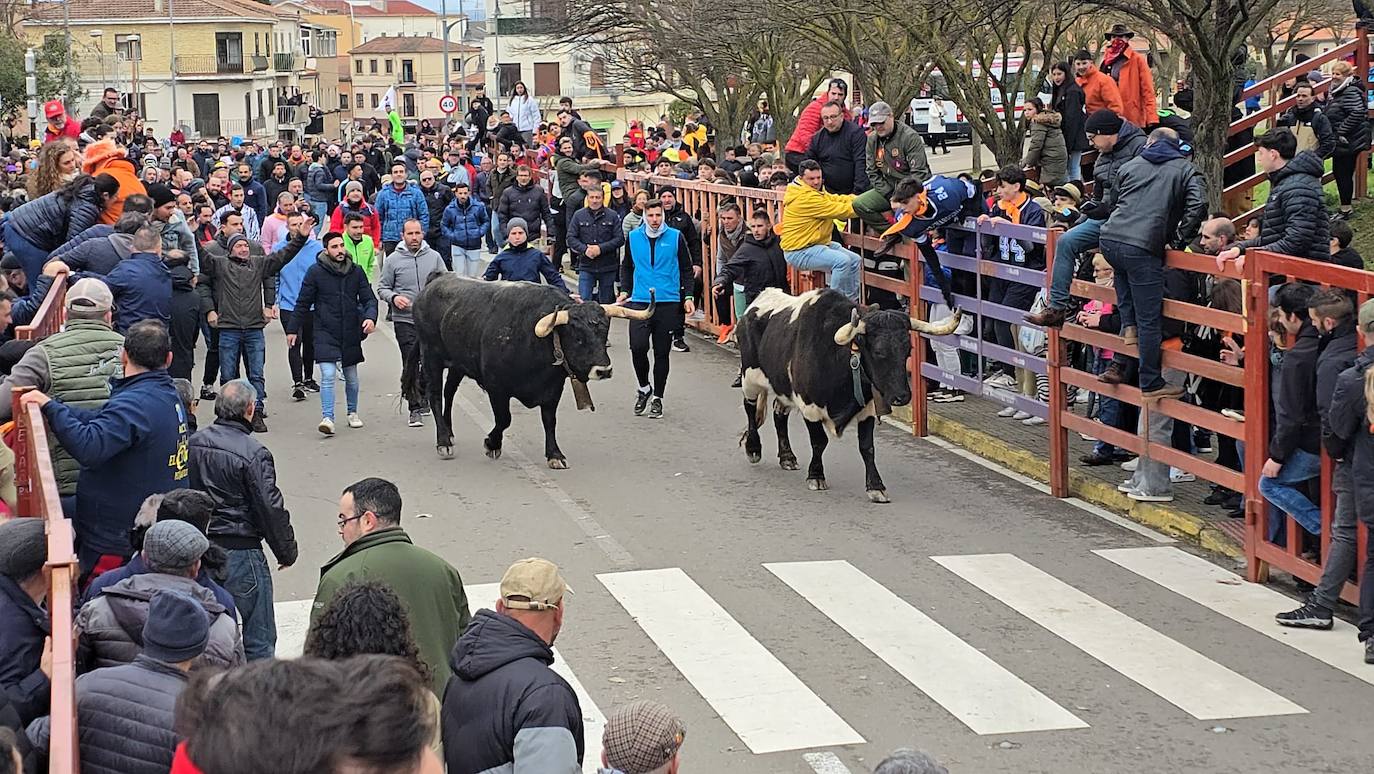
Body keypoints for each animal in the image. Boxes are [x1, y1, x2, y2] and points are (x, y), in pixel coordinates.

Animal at [398, 273, 654, 467]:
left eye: (604, 334)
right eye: (578, 337)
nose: (603, 370)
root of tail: (437, 279)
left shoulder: (553, 389)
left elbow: (549, 421)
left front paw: (555, 455)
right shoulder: (496, 388)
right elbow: (504, 419)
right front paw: (492, 444)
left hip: (458, 364)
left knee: (449, 392)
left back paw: (449, 433)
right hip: (431, 356)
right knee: (434, 394)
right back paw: (443, 441)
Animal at [736, 288, 961, 503]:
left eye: (908, 349)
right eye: (878, 351)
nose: (902, 397)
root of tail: (756, 303)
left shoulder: (867, 409)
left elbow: (867, 447)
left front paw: (876, 487)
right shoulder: (810, 407)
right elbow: (819, 441)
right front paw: (816, 476)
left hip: (783, 386)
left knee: (779, 413)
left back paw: (787, 457)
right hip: (750, 377)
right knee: (750, 407)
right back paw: (753, 448)